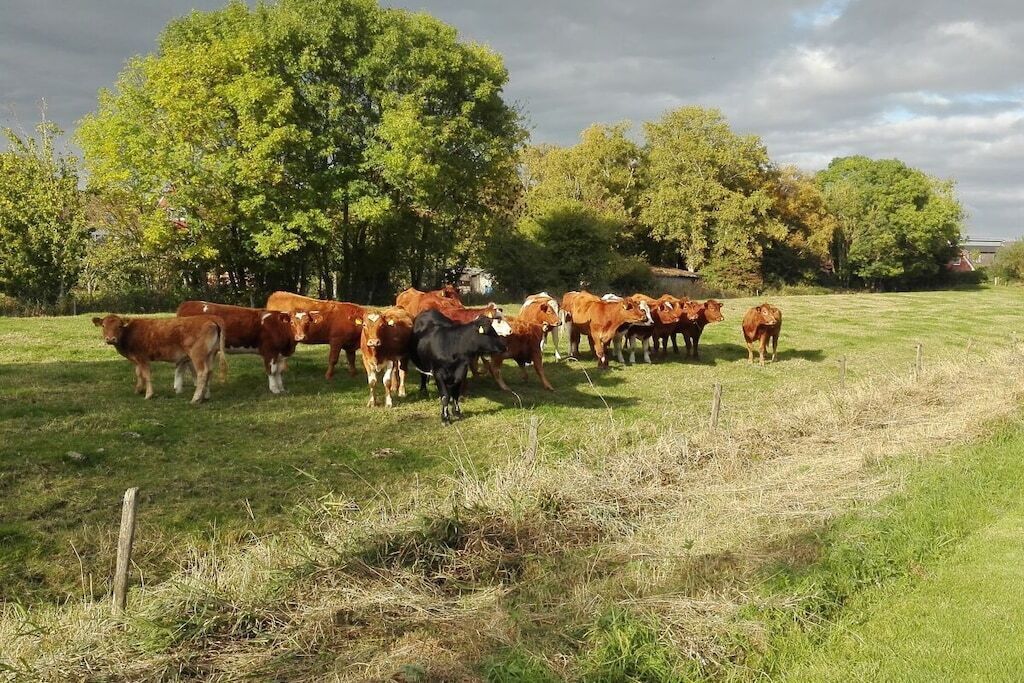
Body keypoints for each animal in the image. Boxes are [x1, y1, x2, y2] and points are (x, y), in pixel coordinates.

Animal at [92, 314, 226, 403]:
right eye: (103, 325)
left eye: (119, 326)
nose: (110, 339)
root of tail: (209, 319)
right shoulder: (137, 360)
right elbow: (138, 374)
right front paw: (138, 389)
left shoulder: (142, 358)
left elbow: (146, 375)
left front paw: (148, 394)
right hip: (210, 354)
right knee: (209, 372)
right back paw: (205, 396)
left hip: (197, 355)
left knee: (202, 373)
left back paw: (195, 398)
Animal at [176, 301, 311, 394]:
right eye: (292, 322)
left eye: (307, 322)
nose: (300, 336)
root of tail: (187, 303)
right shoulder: (269, 351)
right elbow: (271, 371)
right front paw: (274, 389)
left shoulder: (280, 354)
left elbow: (279, 371)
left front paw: (281, 388)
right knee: (185, 365)